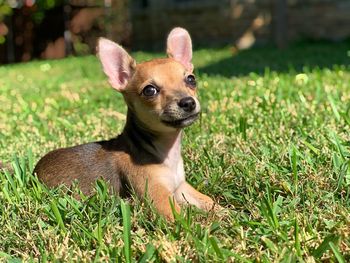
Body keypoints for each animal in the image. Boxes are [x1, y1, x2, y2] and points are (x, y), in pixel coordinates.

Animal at [34, 27, 220, 221]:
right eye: (150, 90)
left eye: (191, 79)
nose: (188, 102)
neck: (167, 153)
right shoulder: (159, 199)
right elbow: (183, 219)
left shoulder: (181, 188)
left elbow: (209, 202)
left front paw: (226, 213)